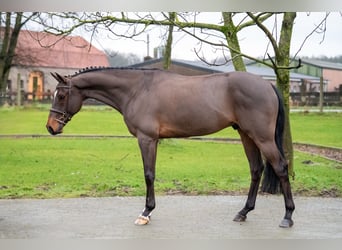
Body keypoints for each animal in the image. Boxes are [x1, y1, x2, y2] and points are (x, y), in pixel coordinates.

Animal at [46, 67, 296, 228]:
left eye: (62, 95)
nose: (50, 127)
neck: (137, 90)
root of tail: (267, 84)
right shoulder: (152, 140)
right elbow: (151, 174)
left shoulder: (147, 139)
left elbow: (148, 174)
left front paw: (146, 213)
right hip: (246, 135)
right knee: (256, 169)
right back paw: (243, 212)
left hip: (262, 137)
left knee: (281, 168)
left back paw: (287, 216)